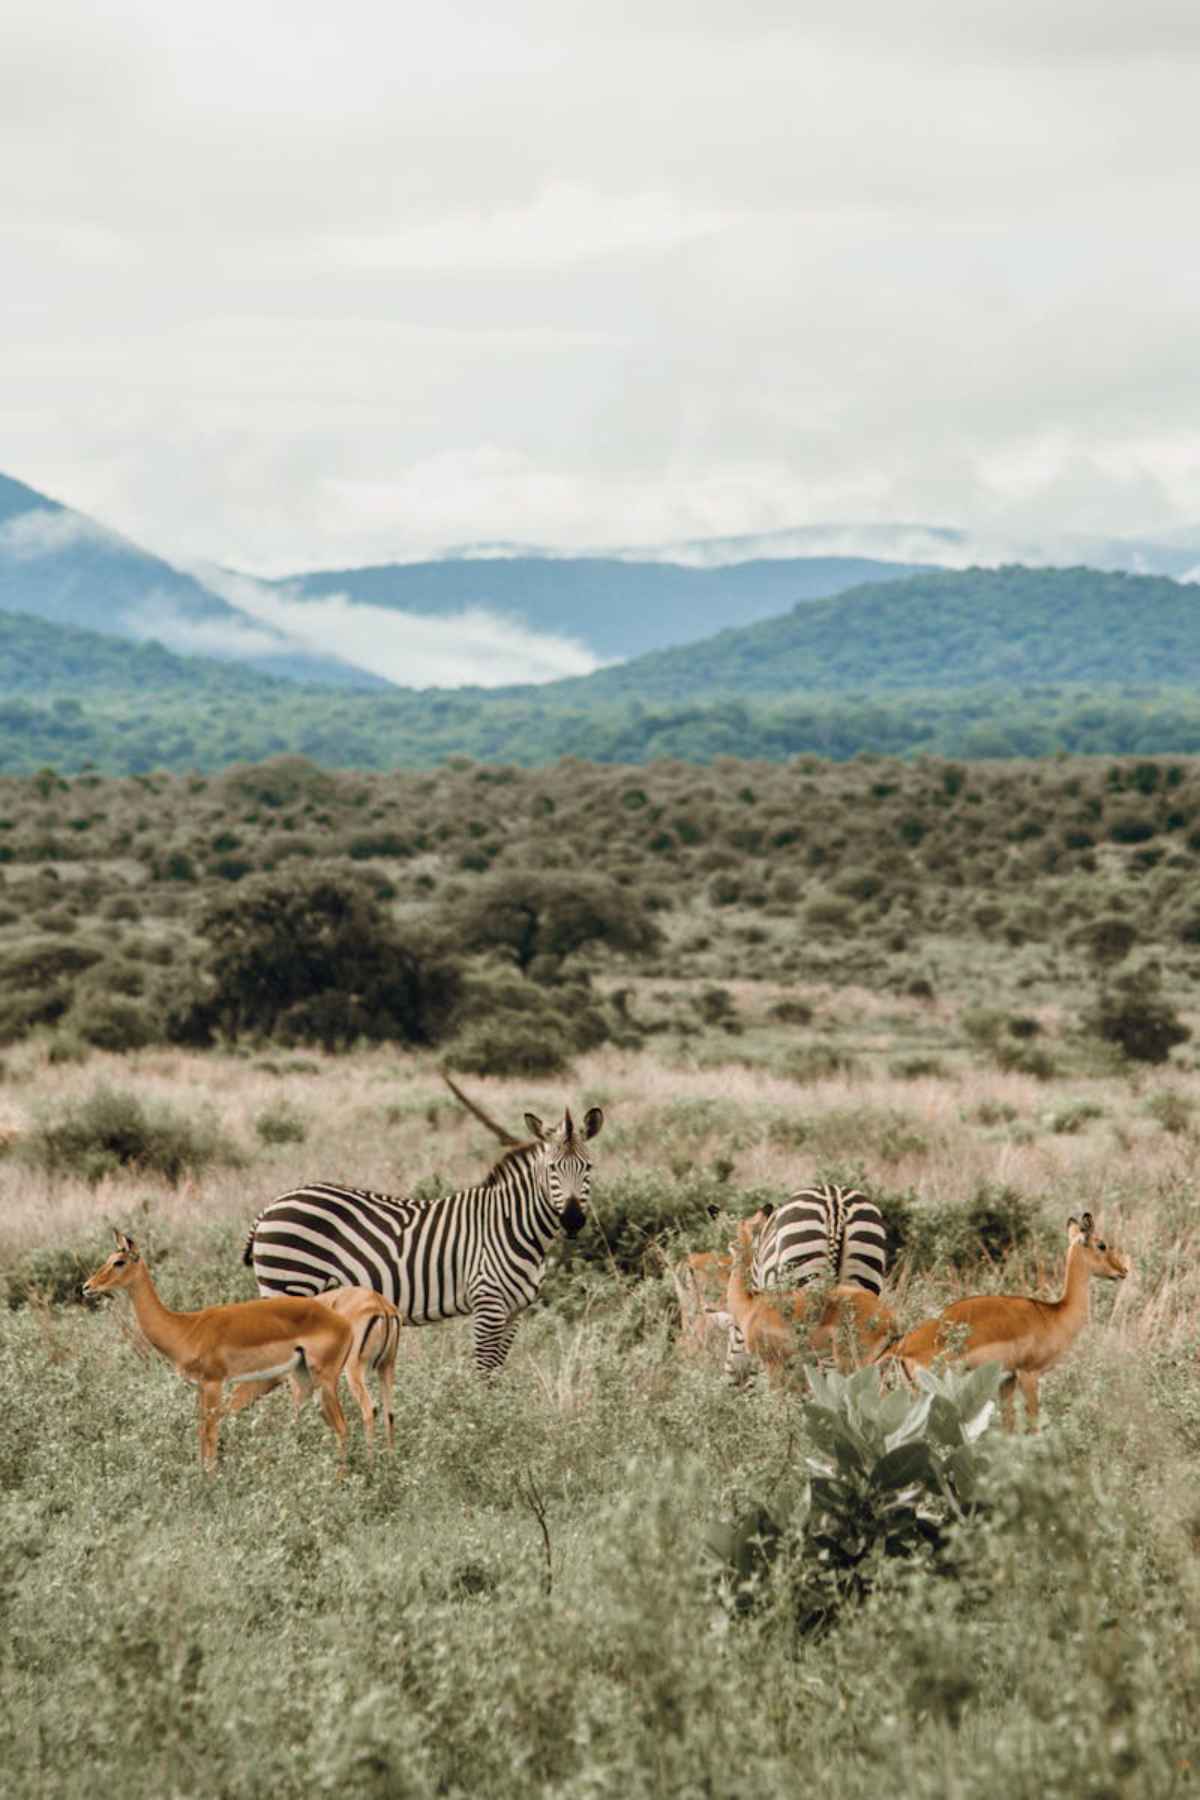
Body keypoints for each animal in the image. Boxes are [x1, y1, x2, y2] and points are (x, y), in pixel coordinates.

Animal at [241, 1106, 603, 1373]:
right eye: (552, 1168)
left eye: (588, 1167)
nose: (573, 1220)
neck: (512, 1225)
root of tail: (271, 1206)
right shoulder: (488, 1303)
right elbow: (484, 1372)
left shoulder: (514, 1312)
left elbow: (498, 1371)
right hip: (288, 1286)